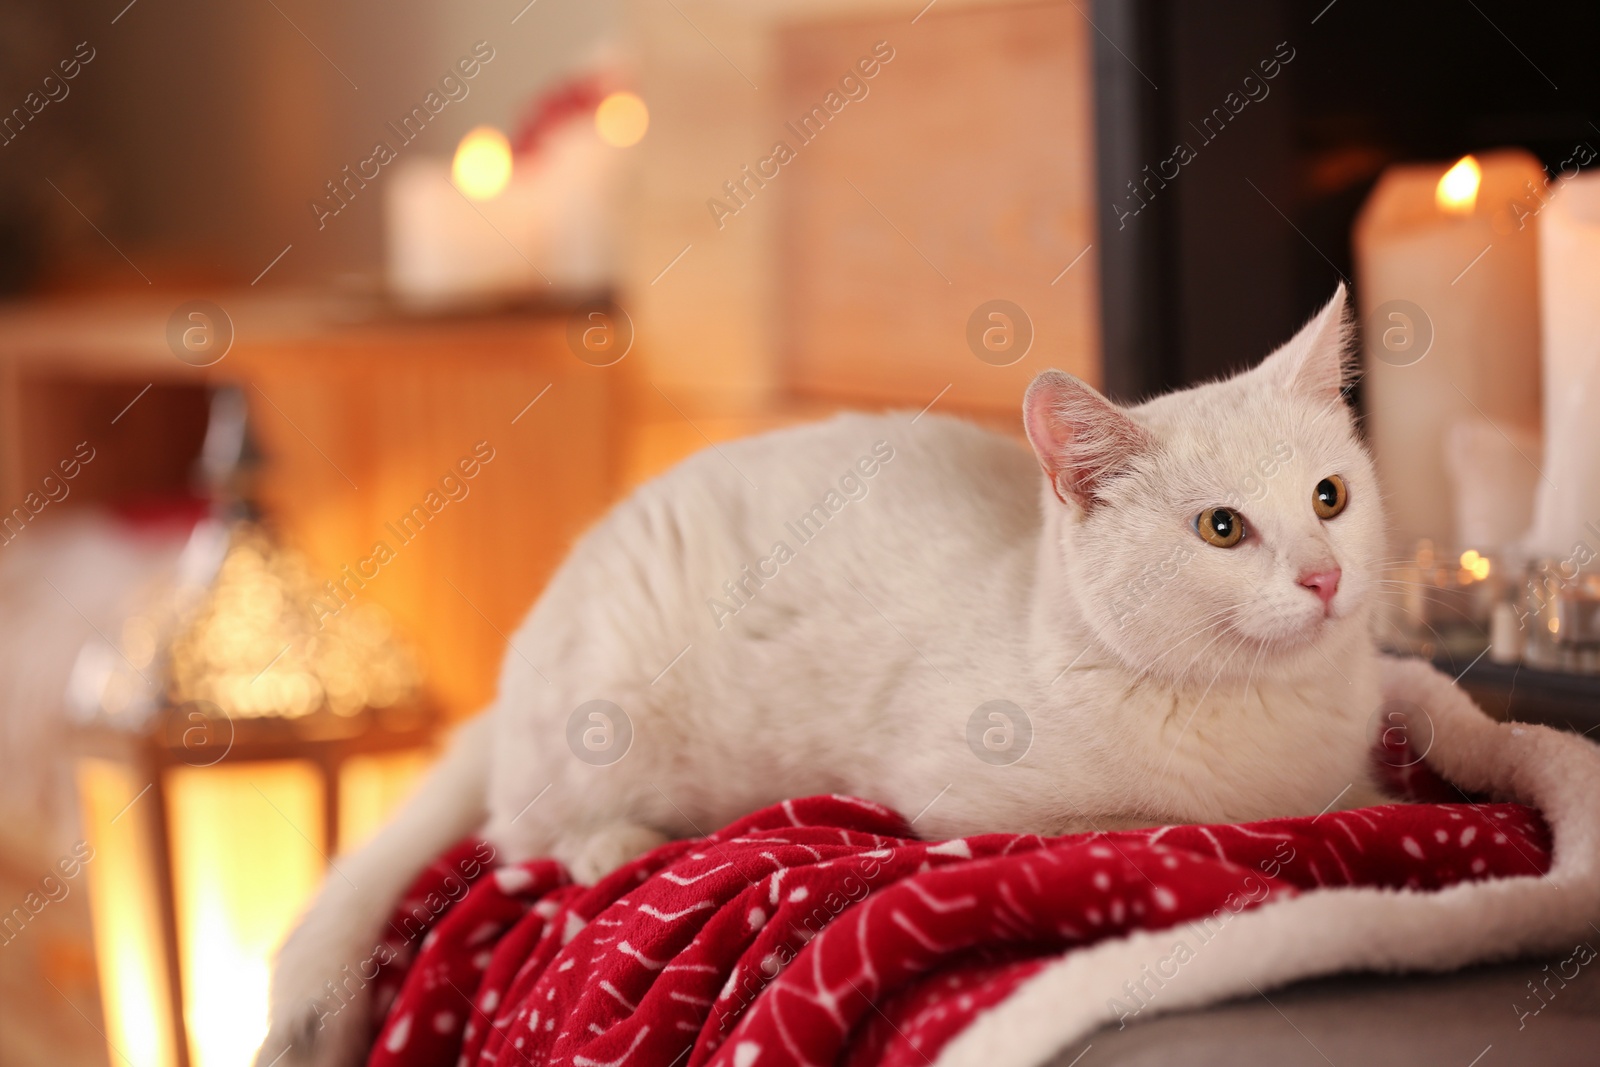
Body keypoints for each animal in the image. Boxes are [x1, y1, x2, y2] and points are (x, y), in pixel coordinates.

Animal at [256, 286, 1433, 1067]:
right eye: (1222, 528)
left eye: (1329, 496)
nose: (1325, 576)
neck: (1270, 715)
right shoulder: (985, 800)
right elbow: (1151, 824)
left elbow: (1369, 791)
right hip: (595, 716)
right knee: (522, 831)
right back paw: (613, 841)